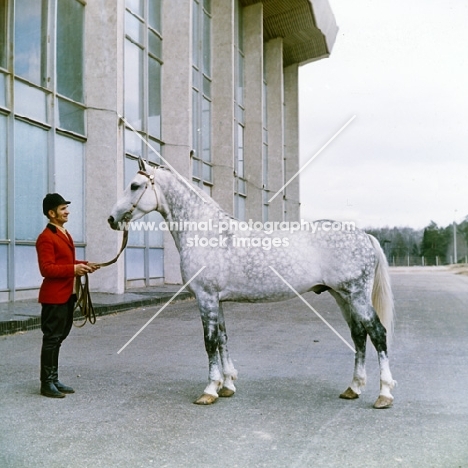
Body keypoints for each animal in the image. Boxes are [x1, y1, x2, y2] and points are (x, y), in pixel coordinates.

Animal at [109, 159, 394, 408]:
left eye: (134, 185)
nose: (111, 219)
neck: (206, 232)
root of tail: (365, 236)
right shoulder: (217, 300)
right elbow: (222, 338)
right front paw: (227, 385)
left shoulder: (206, 297)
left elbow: (209, 341)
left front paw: (209, 390)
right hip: (342, 296)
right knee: (358, 335)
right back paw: (353, 388)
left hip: (356, 296)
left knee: (377, 333)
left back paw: (384, 395)